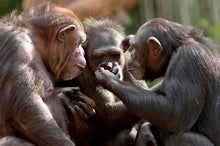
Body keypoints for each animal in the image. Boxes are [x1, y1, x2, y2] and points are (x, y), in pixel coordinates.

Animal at [0, 2, 87, 146]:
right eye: (80, 42)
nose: (82, 52)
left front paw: (66, 96)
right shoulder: (19, 49)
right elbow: (27, 109)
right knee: (10, 140)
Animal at [95, 17, 220, 145]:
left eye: (135, 47)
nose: (132, 54)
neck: (174, 50)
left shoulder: (187, 59)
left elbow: (175, 112)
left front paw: (108, 77)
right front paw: (146, 131)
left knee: (182, 137)